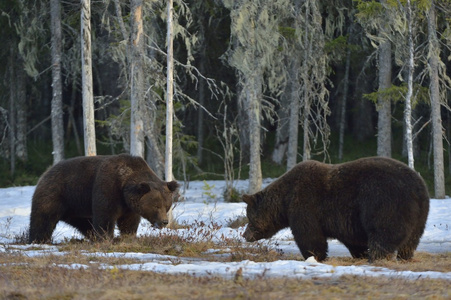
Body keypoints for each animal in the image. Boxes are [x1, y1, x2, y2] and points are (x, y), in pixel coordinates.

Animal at [27, 154, 180, 243]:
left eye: (167, 205)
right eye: (156, 206)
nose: (164, 222)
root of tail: (46, 172)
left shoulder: (129, 206)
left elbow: (129, 222)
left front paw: (128, 236)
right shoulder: (108, 188)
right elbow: (105, 215)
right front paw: (107, 238)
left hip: (77, 208)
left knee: (85, 223)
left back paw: (91, 236)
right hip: (57, 194)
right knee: (43, 218)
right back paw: (39, 240)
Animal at [244, 157, 430, 262]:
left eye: (249, 218)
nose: (245, 235)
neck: (284, 200)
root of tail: (418, 187)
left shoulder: (304, 204)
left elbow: (309, 235)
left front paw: (314, 256)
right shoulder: (346, 220)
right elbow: (353, 239)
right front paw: (359, 253)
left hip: (384, 201)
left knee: (383, 232)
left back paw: (377, 256)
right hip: (420, 214)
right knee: (411, 239)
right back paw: (404, 256)